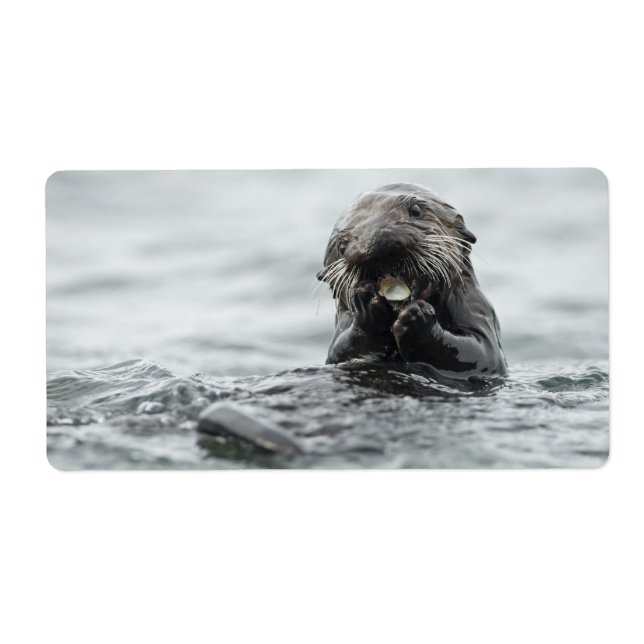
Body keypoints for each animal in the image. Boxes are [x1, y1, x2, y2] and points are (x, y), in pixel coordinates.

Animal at [317, 183, 507, 379]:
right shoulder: (340, 346)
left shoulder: (477, 309)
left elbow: (482, 353)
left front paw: (417, 316)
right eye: (341, 245)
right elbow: (341, 352)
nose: (374, 244)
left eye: (416, 210)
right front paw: (366, 308)